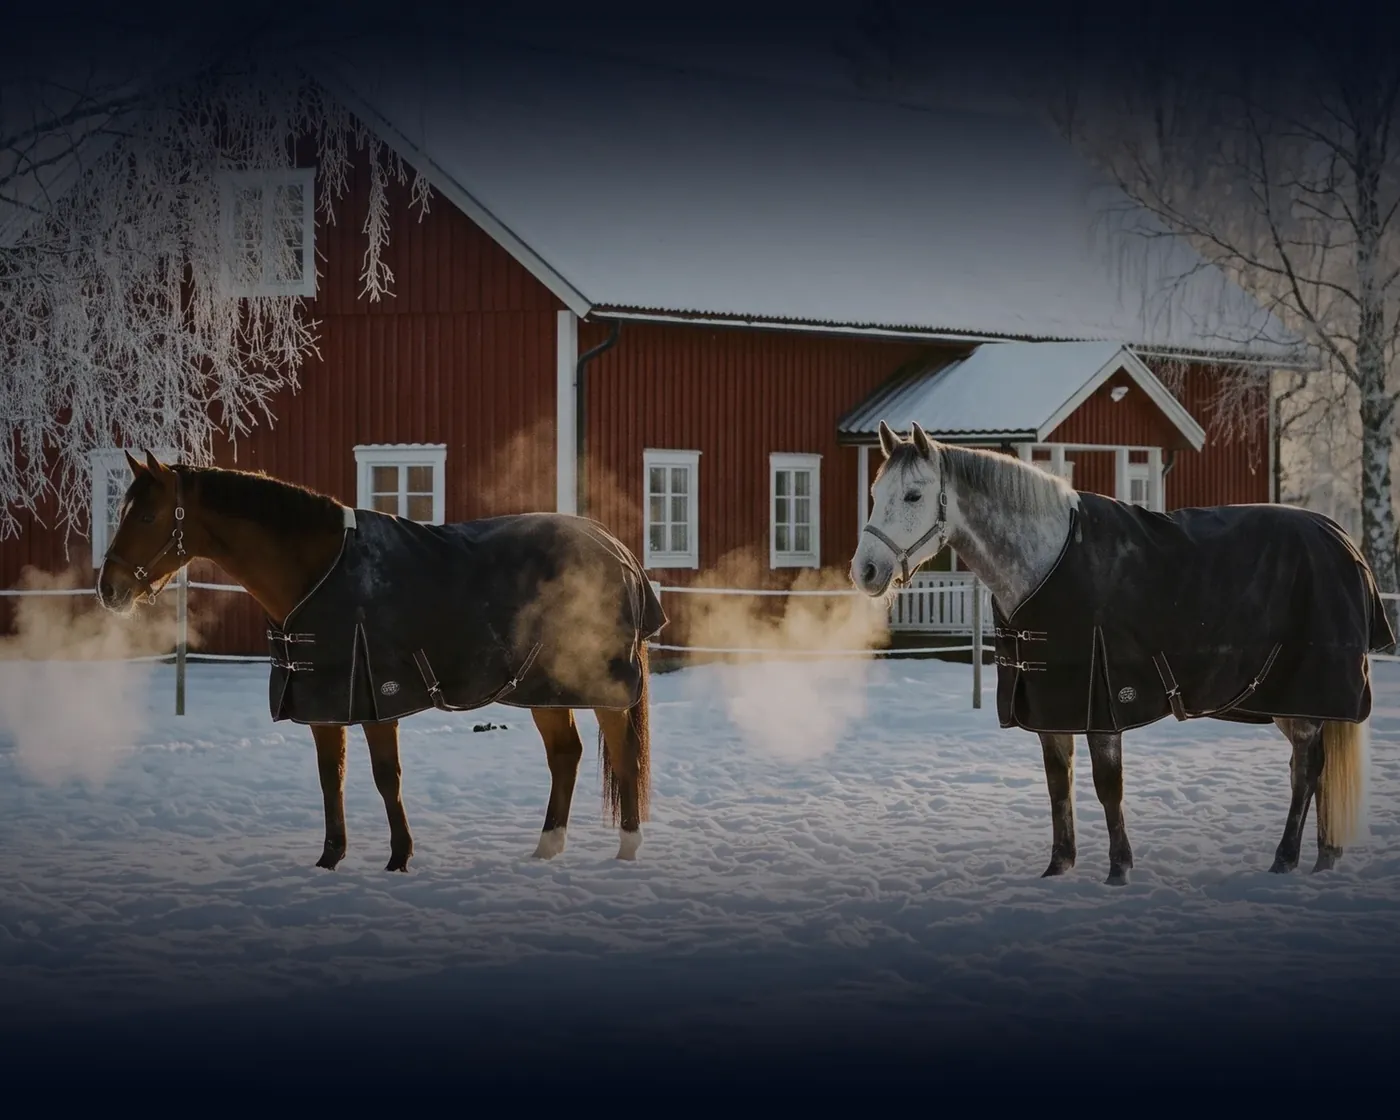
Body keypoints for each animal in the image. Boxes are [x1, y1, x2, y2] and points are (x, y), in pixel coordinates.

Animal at [95, 450, 667, 871]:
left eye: (146, 514)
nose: (108, 589)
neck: (319, 571)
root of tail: (617, 550)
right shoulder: (323, 701)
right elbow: (332, 777)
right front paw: (330, 860)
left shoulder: (377, 694)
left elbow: (385, 776)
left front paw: (399, 858)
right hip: (543, 688)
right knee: (566, 755)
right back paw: (547, 848)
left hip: (600, 685)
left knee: (623, 755)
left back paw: (627, 850)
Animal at [850, 421, 1394, 886]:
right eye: (874, 494)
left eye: (914, 495)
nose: (866, 572)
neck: (1048, 560)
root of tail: (1343, 540)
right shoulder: (1052, 708)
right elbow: (1058, 785)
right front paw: (1058, 869)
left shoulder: (1105, 702)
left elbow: (1108, 786)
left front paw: (1119, 869)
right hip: (1290, 701)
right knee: (1315, 767)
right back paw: (1323, 859)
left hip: (1304, 695)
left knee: (1306, 770)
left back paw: (1286, 860)